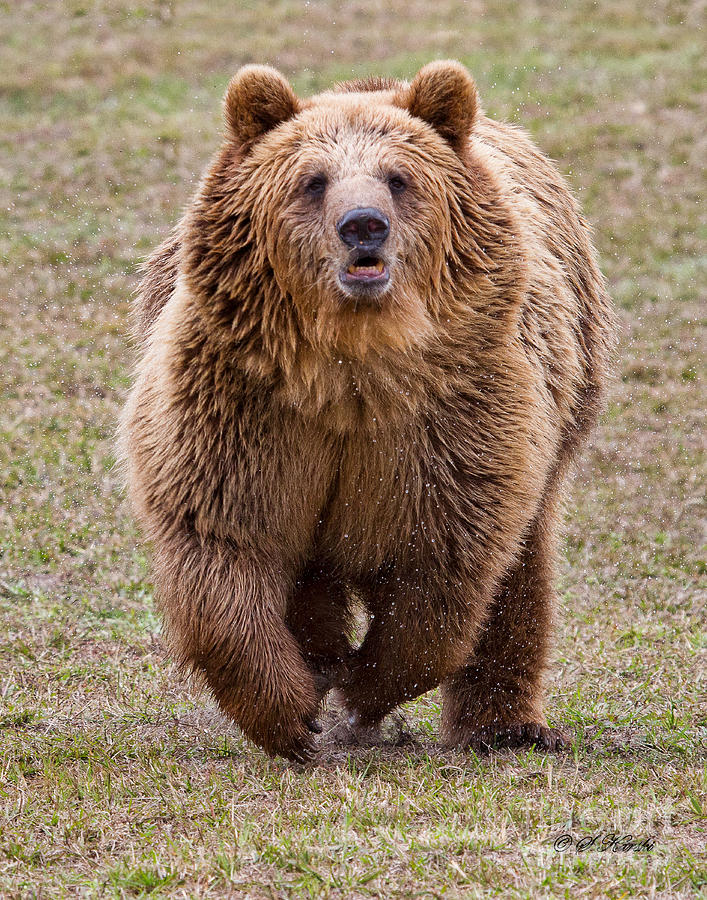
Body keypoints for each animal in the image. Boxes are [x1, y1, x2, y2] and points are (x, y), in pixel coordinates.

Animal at [119, 61, 616, 760]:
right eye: (314, 180)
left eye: (398, 178)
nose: (362, 224)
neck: (350, 369)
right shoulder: (243, 411)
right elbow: (224, 545)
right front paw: (292, 713)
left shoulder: (451, 425)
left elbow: (439, 577)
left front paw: (362, 691)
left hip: (559, 409)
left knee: (521, 571)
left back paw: (507, 726)